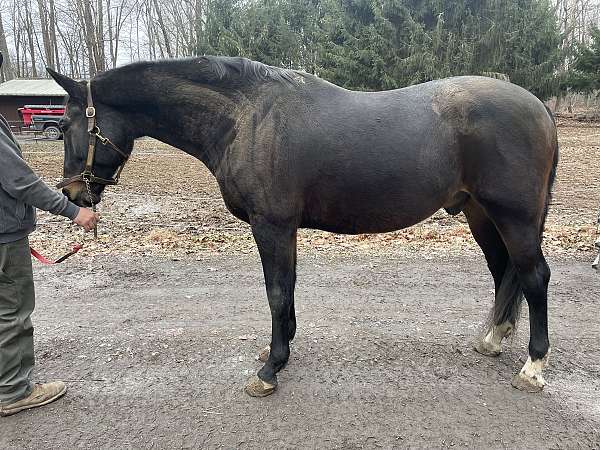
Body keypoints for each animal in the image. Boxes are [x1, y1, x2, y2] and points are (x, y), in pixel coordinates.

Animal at [47, 56, 556, 398]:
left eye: (67, 126)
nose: (72, 194)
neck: (246, 119)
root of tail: (539, 107)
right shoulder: (284, 228)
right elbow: (286, 289)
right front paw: (280, 350)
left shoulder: (271, 224)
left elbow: (275, 291)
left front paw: (270, 370)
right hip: (480, 215)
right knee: (504, 273)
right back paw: (492, 340)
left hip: (513, 217)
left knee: (534, 277)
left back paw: (533, 367)